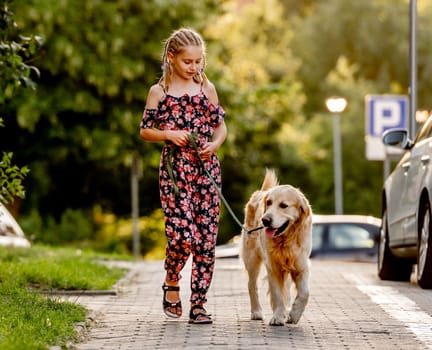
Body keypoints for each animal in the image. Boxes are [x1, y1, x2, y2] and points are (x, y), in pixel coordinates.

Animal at [241, 170, 312, 326]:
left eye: (284, 205)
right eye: (269, 202)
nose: (265, 220)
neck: (285, 240)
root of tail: (261, 191)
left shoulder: (301, 265)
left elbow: (304, 293)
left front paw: (295, 313)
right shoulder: (272, 267)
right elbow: (277, 294)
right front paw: (278, 317)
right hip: (251, 258)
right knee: (251, 285)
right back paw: (256, 311)